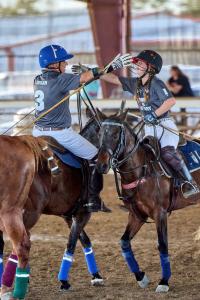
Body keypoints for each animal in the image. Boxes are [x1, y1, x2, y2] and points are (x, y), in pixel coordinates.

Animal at [0, 117, 103, 300]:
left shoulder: (69, 215)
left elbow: (83, 239)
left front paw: (96, 276)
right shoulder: (83, 213)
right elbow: (73, 242)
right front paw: (64, 281)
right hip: (18, 212)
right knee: (21, 244)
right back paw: (13, 288)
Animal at [95, 110, 200, 292]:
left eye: (115, 135)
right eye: (99, 134)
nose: (101, 165)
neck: (141, 171)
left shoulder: (160, 213)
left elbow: (163, 244)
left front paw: (164, 282)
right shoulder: (136, 215)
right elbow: (124, 242)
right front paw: (141, 277)